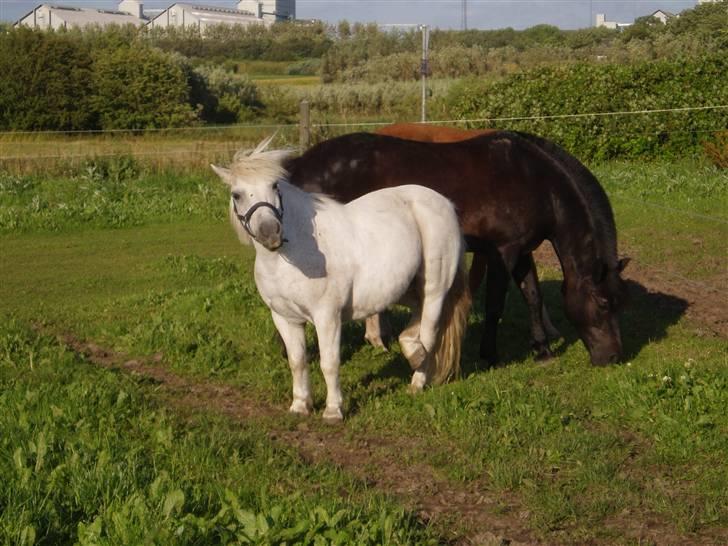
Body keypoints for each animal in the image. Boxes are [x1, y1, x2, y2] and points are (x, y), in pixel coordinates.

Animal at [212, 137, 472, 420]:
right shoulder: (284, 318)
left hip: (435, 289)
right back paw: (412, 350)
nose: (271, 233)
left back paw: (416, 380)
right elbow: (297, 361)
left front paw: (333, 410)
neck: (294, 254)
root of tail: (444, 203)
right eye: (236, 194)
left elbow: (329, 362)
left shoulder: (327, 317)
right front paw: (300, 406)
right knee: (417, 321)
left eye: (274, 185)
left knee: (429, 334)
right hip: (408, 289)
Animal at [284, 130, 632, 364]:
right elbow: (495, 304)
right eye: (603, 303)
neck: (536, 180)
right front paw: (489, 354)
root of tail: (300, 165)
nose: (614, 357)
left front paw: (542, 349)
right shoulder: (502, 251)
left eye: (619, 304)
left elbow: (533, 297)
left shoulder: (523, 251)